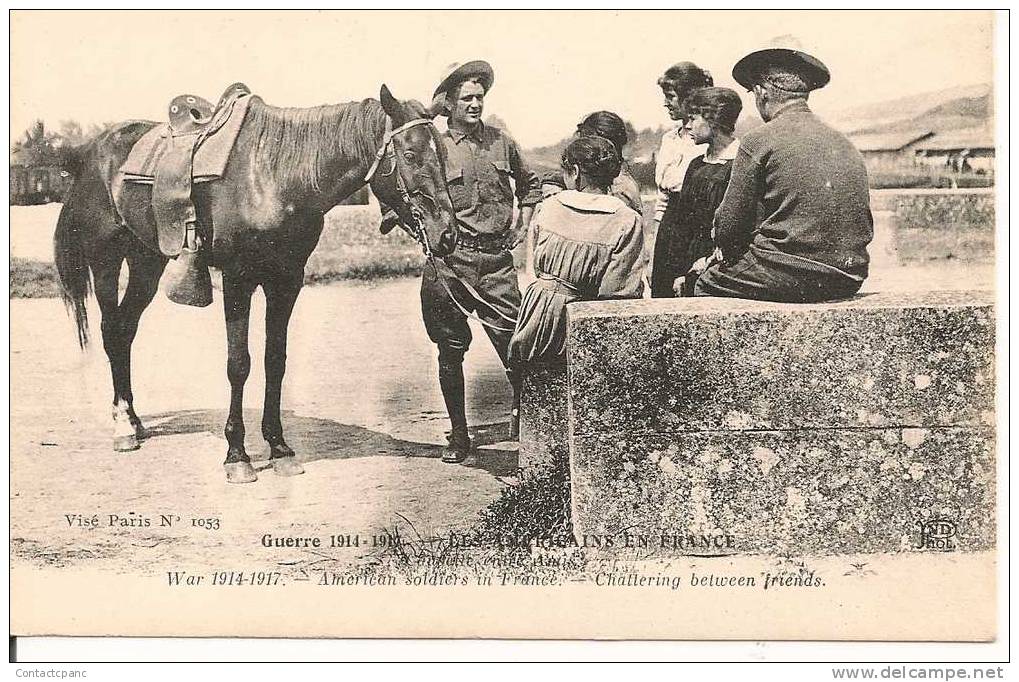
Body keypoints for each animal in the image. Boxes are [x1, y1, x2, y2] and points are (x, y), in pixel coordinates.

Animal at [51, 86, 458, 483]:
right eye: (410, 153)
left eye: (443, 154)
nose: (448, 234)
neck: (274, 176)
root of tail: (90, 153)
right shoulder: (238, 279)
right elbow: (239, 364)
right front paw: (237, 455)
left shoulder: (287, 280)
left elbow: (274, 361)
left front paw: (279, 448)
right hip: (105, 261)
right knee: (111, 330)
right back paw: (122, 426)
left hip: (146, 263)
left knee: (126, 329)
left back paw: (134, 420)